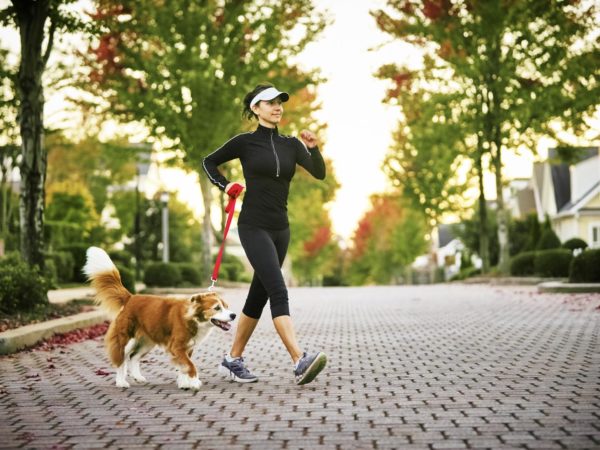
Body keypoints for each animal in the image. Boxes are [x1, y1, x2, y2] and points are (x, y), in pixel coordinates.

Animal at [84, 246, 234, 390]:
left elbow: (184, 367)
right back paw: (121, 382)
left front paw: (184, 383)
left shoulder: (187, 348)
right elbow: (190, 365)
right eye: (217, 308)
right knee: (122, 359)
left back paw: (138, 377)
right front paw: (194, 382)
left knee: (134, 357)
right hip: (126, 339)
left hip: (147, 341)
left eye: (226, 306)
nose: (233, 315)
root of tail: (131, 297)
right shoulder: (177, 346)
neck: (194, 319)